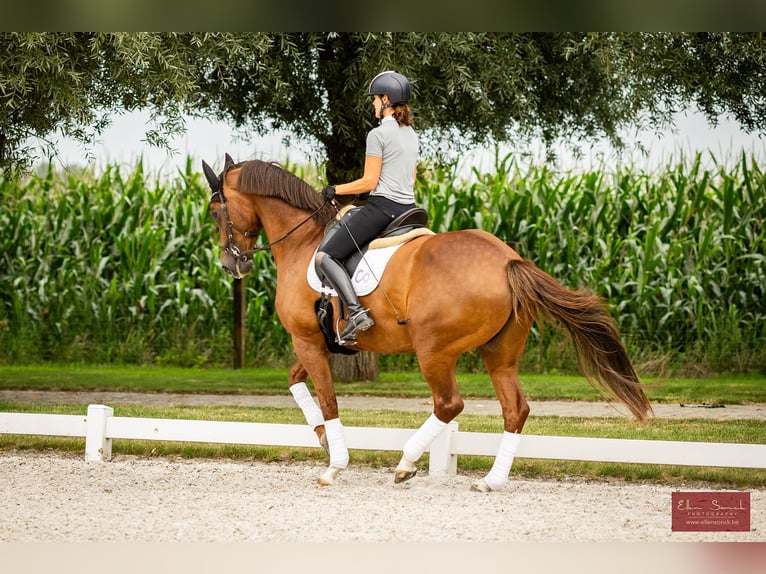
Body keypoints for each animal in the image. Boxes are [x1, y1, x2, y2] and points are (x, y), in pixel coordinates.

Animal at [202, 154, 653, 491]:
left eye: (215, 209)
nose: (231, 265)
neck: (303, 242)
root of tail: (508, 261)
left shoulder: (307, 340)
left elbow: (327, 400)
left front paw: (335, 464)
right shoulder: (322, 343)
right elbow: (296, 383)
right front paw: (324, 440)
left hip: (433, 349)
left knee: (449, 404)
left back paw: (406, 463)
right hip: (499, 352)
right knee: (515, 408)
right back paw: (490, 481)